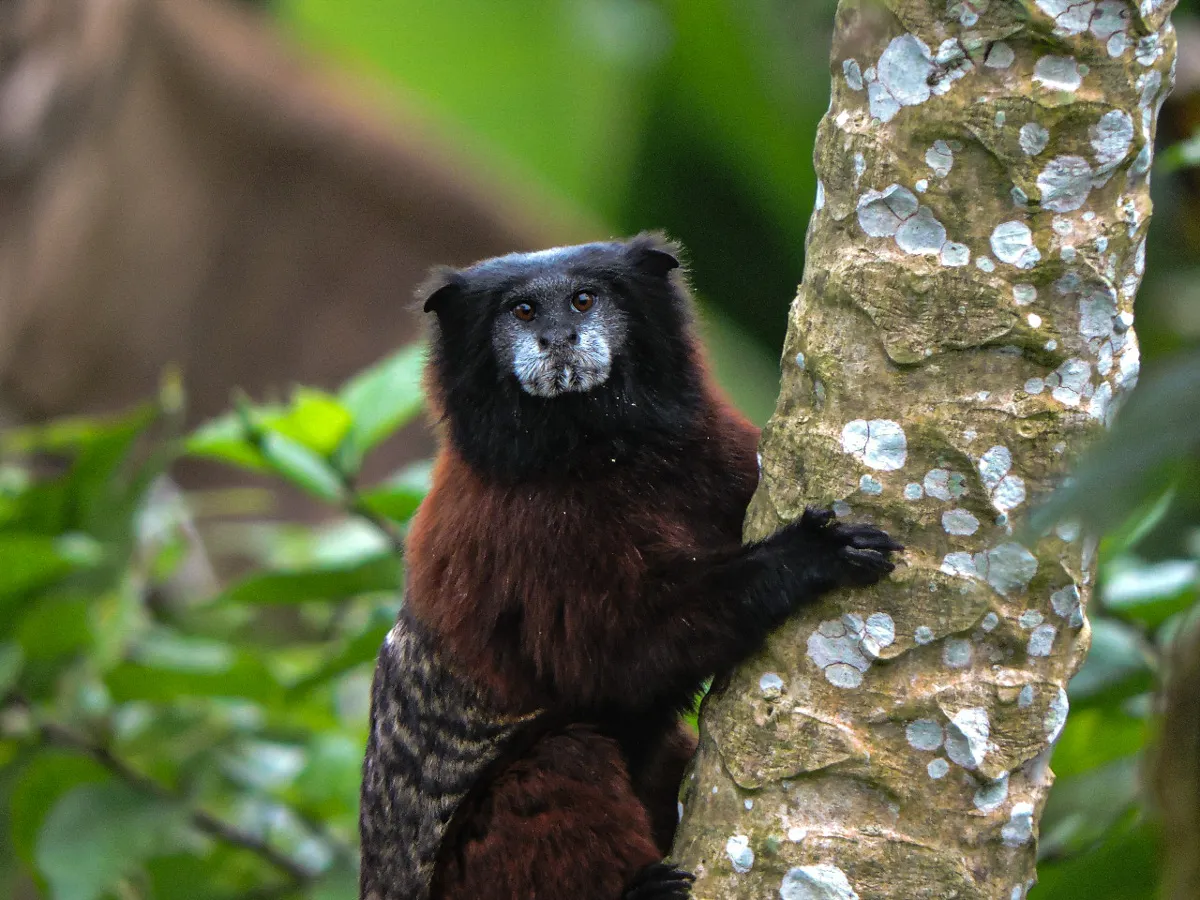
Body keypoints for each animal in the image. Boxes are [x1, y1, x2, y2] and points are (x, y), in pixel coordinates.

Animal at [358, 233, 903, 900]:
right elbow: (615, 655)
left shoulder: (716, 448)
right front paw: (805, 557)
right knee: (561, 756)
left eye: (583, 300)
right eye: (524, 312)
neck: (601, 453)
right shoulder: (523, 532)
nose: (560, 339)